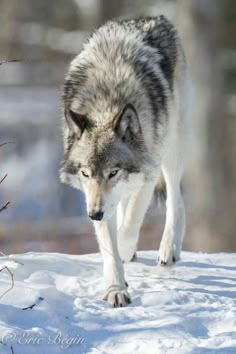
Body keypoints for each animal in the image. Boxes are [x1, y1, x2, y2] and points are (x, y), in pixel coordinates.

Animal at [60, 14, 189, 306]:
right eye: (85, 174)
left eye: (113, 172)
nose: (94, 214)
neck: (107, 104)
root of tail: (153, 17)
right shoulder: (96, 197)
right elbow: (110, 243)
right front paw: (116, 289)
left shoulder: (148, 173)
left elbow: (129, 226)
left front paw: (126, 249)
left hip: (171, 148)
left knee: (175, 199)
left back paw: (169, 249)